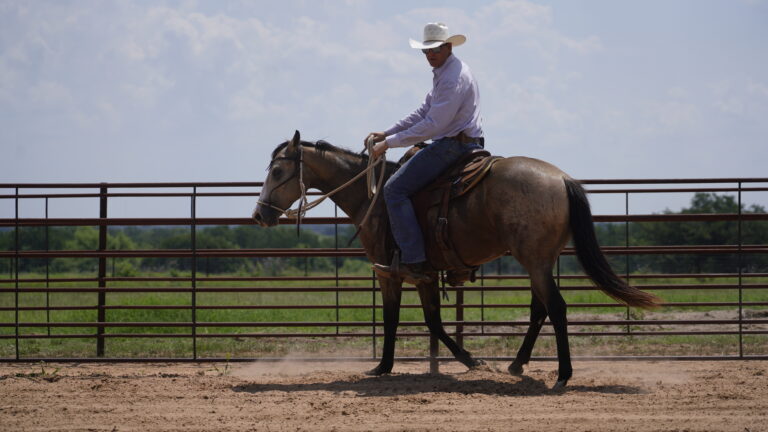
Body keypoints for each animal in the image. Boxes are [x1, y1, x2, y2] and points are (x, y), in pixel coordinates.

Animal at [252, 131, 660, 390]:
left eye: (278, 171)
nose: (259, 215)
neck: (374, 198)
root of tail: (562, 180)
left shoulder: (390, 274)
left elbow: (393, 319)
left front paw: (383, 366)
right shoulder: (426, 276)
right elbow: (433, 321)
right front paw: (469, 360)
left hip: (536, 260)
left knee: (556, 309)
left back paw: (562, 375)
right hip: (539, 261)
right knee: (539, 309)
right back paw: (516, 364)